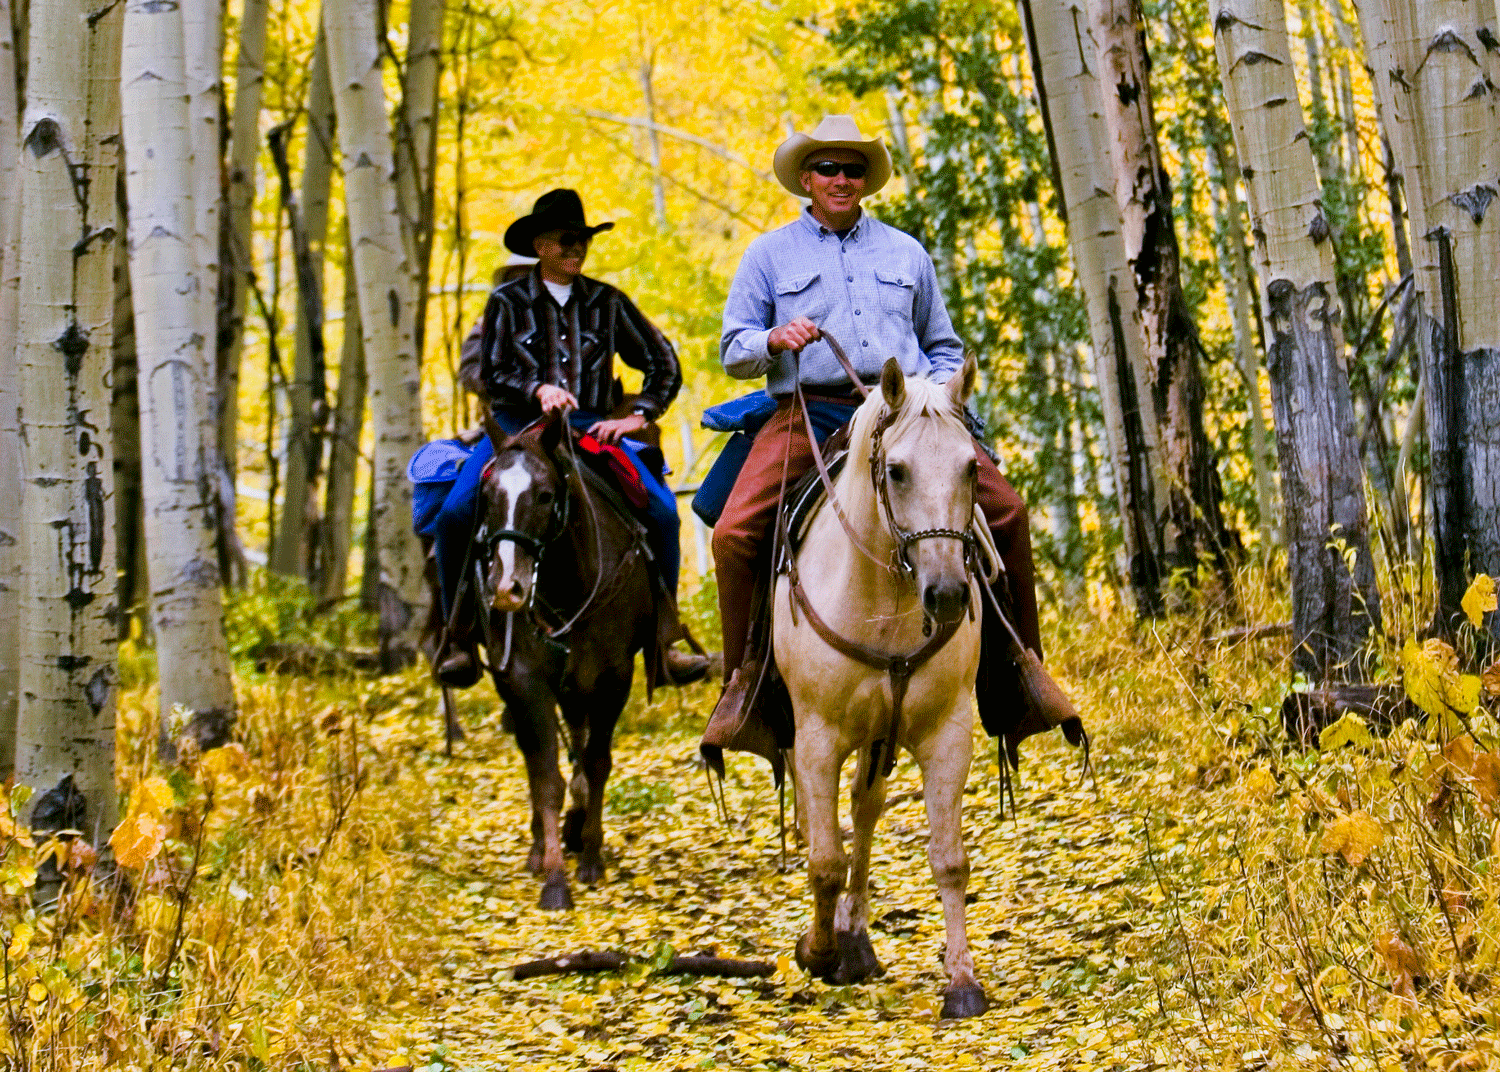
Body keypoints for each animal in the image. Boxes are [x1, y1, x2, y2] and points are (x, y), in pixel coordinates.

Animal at [474, 413, 675, 911]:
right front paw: (554, 881)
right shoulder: (526, 682)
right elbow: (546, 777)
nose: (505, 588)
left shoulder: (613, 677)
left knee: (582, 747)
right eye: (487, 496)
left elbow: (598, 761)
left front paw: (591, 857)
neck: (571, 582)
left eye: (546, 494)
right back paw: (541, 844)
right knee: (537, 757)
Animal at [774, 356, 996, 1019]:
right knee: (831, 823)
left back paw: (857, 940)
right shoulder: (817, 739)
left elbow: (949, 860)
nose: (946, 596)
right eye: (895, 471)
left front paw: (963, 983)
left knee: (864, 809)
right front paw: (815, 952)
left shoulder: (947, 734)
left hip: (880, 737)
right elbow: (824, 859)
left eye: (971, 466)